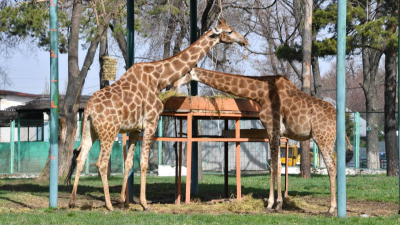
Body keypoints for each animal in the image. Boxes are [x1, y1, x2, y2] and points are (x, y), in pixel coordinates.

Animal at [64, 19, 247, 211]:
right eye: (230, 31)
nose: (243, 41)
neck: (158, 79)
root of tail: (89, 110)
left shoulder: (135, 129)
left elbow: (129, 163)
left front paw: (122, 201)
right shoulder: (151, 122)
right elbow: (143, 164)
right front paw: (144, 204)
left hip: (89, 131)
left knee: (81, 158)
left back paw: (73, 201)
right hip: (109, 132)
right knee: (101, 162)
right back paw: (108, 205)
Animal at [173, 67, 352, 215]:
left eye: (183, 72)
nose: (173, 85)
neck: (260, 93)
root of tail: (338, 119)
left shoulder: (272, 128)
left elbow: (274, 166)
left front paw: (273, 205)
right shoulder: (274, 132)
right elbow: (275, 165)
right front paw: (276, 204)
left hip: (322, 137)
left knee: (331, 167)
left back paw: (331, 209)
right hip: (328, 140)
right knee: (334, 166)